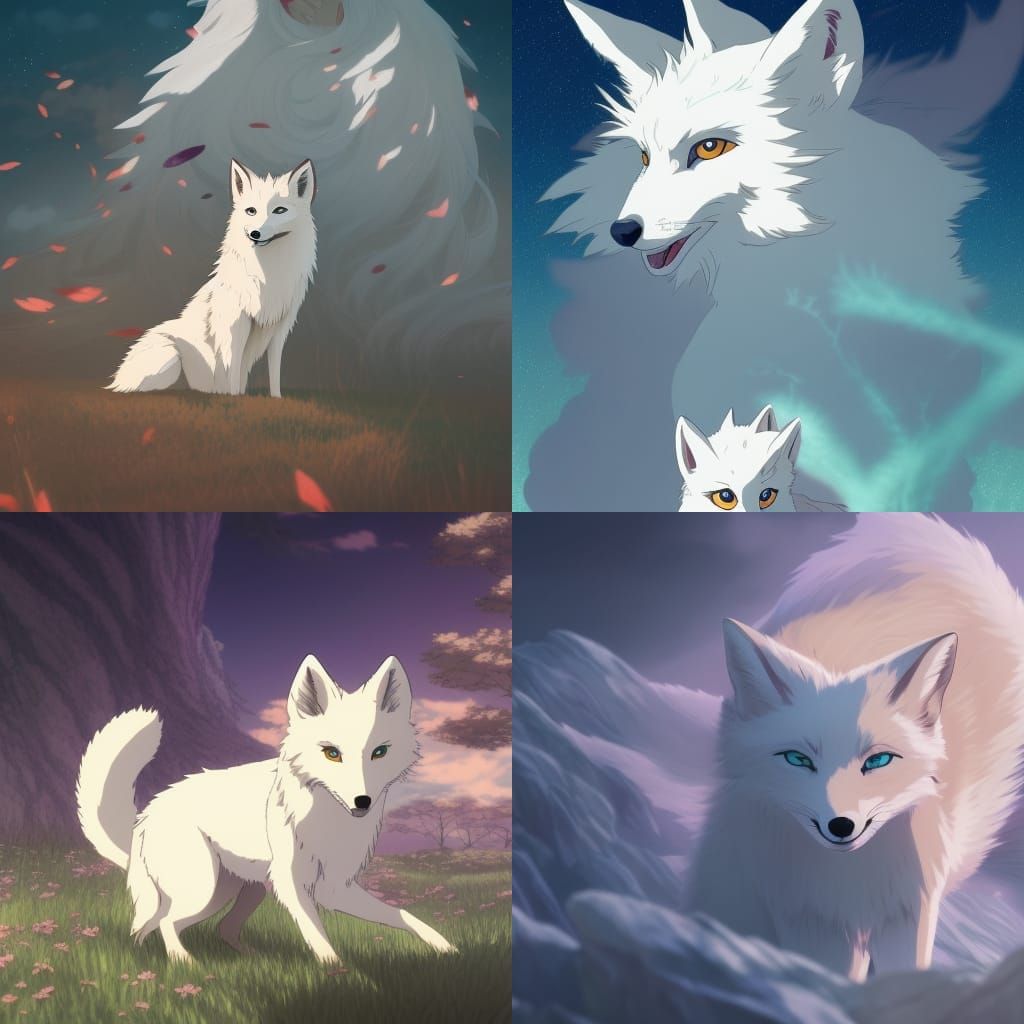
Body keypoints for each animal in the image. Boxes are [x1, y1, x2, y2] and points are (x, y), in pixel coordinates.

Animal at [75, 654, 455, 963]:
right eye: (332, 753)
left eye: (379, 752)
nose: (362, 801)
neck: (327, 822)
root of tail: (144, 815)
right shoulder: (293, 885)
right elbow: (320, 939)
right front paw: (341, 975)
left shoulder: (335, 888)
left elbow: (405, 916)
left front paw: (446, 949)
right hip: (205, 891)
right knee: (166, 923)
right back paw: (186, 966)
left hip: (236, 892)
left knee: (198, 928)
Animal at [107, 158, 317, 397]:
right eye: (251, 211)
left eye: (279, 210)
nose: (255, 233)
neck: (267, 273)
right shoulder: (235, 326)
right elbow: (232, 370)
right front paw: (234, 397)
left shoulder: (279, 328)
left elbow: (274, 371)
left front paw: (276, 399)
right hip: (170, 360)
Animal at [686, 514, 1024, 978]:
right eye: (797, 759)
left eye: (878, 760)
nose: (841, 825)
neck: (850, 882)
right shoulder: (809, 919)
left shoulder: (908, 911)